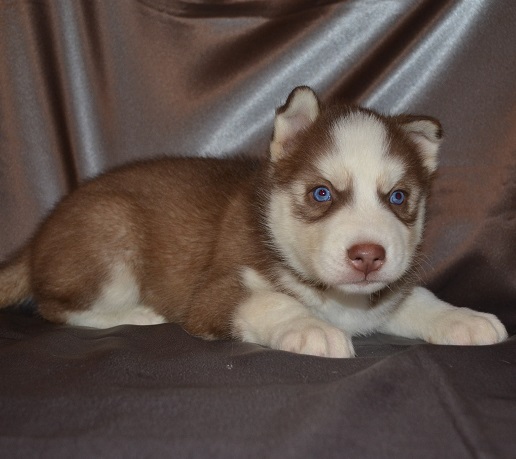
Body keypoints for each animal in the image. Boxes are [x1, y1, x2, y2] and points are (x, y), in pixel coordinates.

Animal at [0, 87, 508, 360]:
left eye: (398, 197)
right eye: (321, 193)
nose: (368, 256)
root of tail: (39, 233)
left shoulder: (384, 294)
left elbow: (417, 297)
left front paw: (462, 317)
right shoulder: (215, 294)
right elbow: (272, 301)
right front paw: (312, 328)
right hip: (111, 232)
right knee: (55, 307)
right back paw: (135, 315)